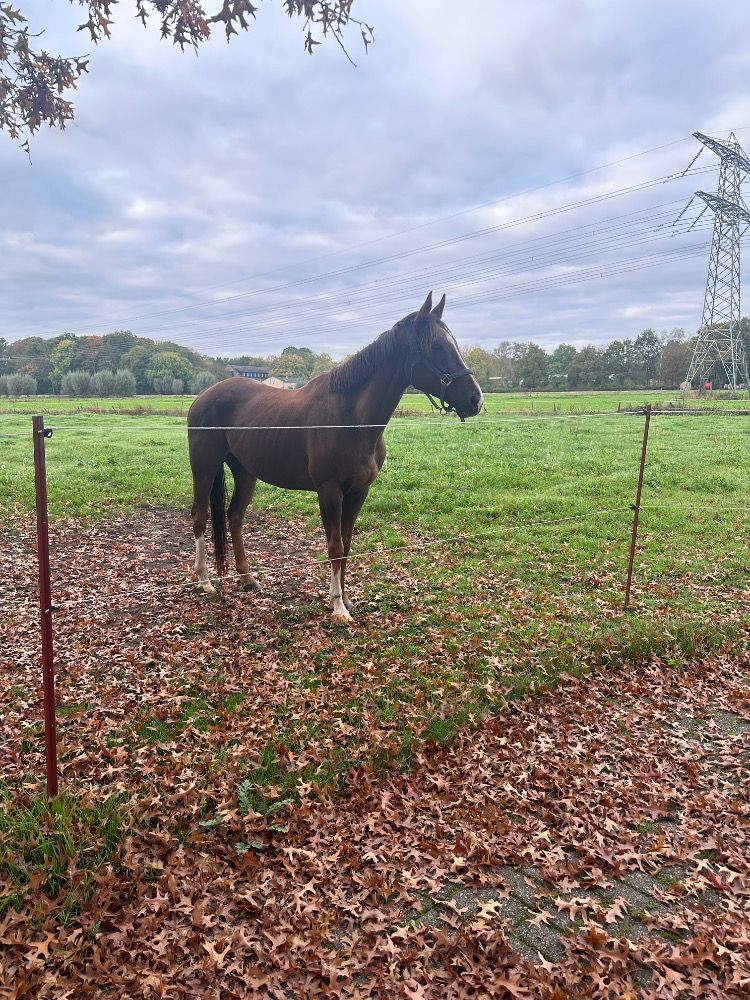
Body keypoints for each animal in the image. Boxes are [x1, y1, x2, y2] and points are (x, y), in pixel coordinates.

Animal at [187, 292, 483, 622]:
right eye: (437, 347)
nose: (475, 399)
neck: (352, 418)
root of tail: (203, 396)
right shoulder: (329, 491)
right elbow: (335, 546)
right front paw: (339, 607)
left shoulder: (358, 491)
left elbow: (348, 544)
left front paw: (345, 599)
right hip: (205, 467)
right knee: (200, 517)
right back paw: (204, 581)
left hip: (245, 472)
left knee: (235, 517)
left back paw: (247, 579)